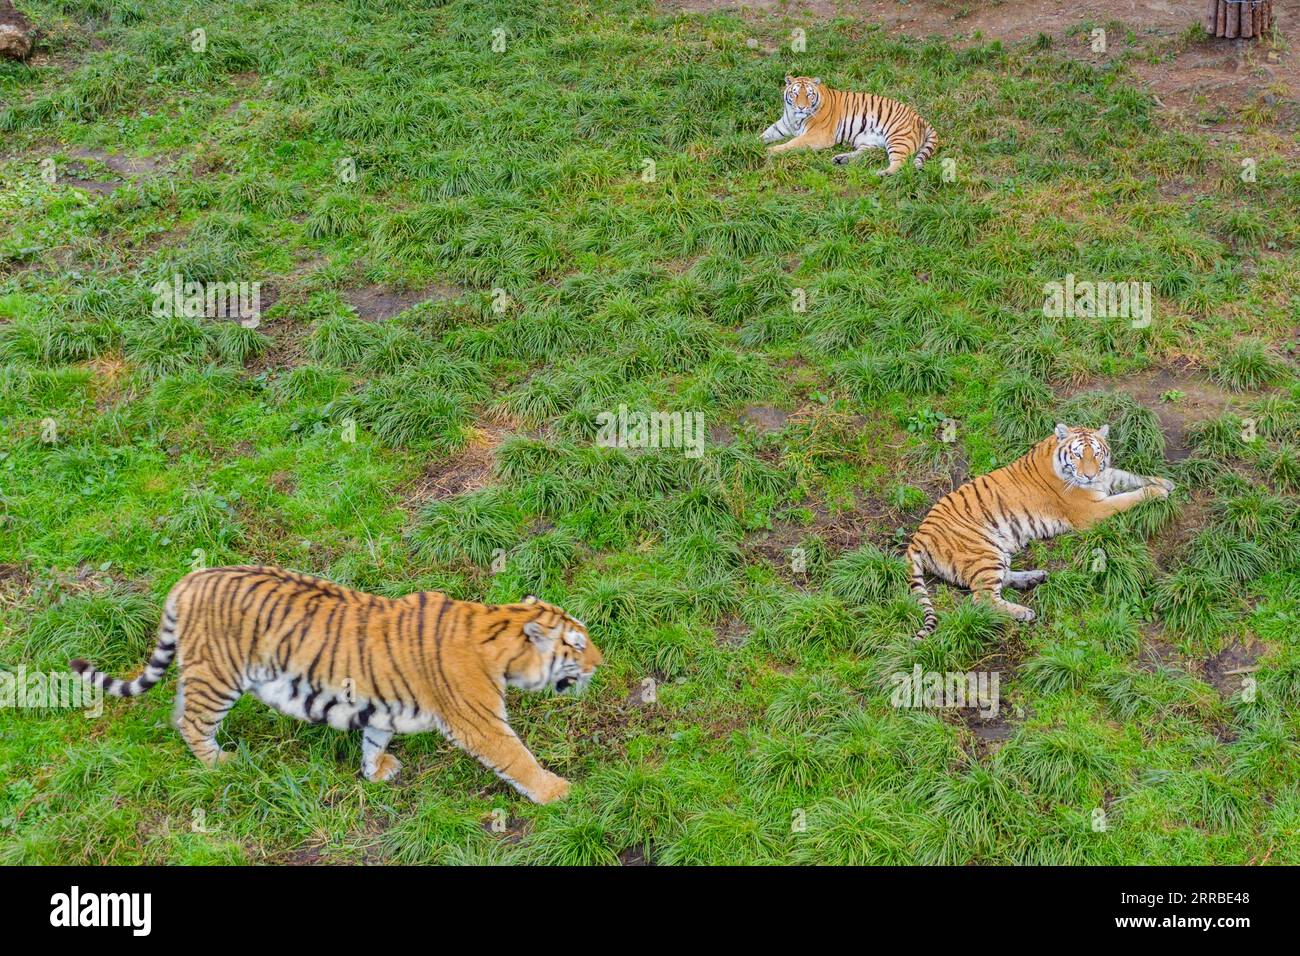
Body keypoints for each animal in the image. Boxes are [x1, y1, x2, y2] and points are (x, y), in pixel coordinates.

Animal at [69, 564, 598, 806]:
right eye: (576, 644)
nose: (601, 661)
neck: (496, 630)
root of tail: (191, 578)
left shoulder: (383, 704)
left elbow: (373, 738)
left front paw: (376, 771)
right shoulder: (479, 721)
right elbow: (517, 758)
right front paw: (558, 792)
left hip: (201, 670)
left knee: (179, 708)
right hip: (218, 678)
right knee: (191, 721)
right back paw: (221, 764)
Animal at [759, 74, 941, 174]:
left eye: (809, 94)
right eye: (795, 94)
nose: (801, 107)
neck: (794, 117)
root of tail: (920, 118)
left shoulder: (817, 135)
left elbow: (793, 143)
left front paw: (770, 151)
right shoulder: (782, 126)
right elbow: (764, 135)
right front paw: (753, 144)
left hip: (897, 137)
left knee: (900, 163)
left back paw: (883, 174)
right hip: (867, 140)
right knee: (866, 153)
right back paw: (841, 159)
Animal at [909, 424, 1175, 634]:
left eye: (1097, 454)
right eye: (1078, 455)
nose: (1089, 476)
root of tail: (918, 536)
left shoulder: (1106, 476)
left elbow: (1130, 476)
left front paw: (1166, 482)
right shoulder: (1092, 511)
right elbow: (1129, 497)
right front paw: (1158, 492)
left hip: (996, 550)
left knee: (1000, 580)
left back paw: (1034, 577)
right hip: (982, 551)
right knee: (982, 599)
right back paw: (1024, 612)